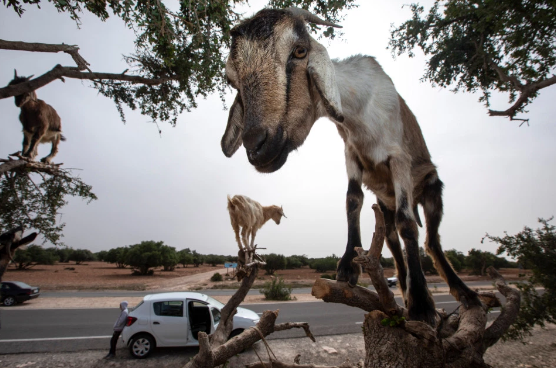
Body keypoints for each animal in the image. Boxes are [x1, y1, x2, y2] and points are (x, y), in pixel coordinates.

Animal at [219, 7, 480, 324]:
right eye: (232, 79)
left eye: (300, 51)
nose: (257, 146)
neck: (360, 112)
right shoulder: (351, 154)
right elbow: (352, 201)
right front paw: (347, 267)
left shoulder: (399, 159)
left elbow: (408, 224)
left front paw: (422, 306)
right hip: (385, 201)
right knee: (391, 239)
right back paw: (404, 293)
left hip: (431, 187)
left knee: (430, 239)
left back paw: (463, 294)